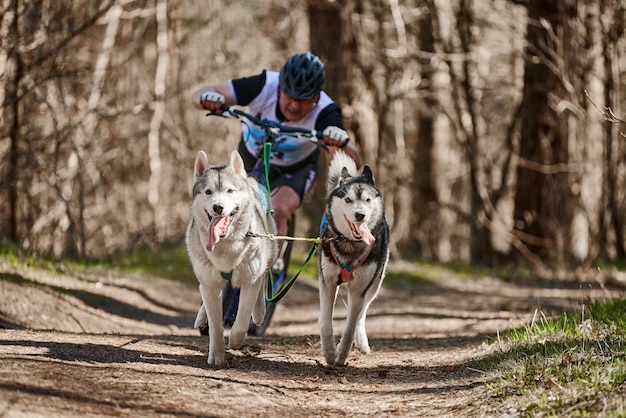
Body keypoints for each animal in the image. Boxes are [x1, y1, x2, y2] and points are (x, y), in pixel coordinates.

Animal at [184, 150, 274, 366]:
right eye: (208, 192)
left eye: (230, 191)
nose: (218, 207)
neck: (225, 248)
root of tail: (251, 180)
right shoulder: (209, 283)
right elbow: (216, 324)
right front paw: (217, 355)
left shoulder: (249, 280)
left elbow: (242, 318)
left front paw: (235, 341)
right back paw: (201, 318)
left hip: (270, 251)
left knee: (263, 278)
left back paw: (259, 312)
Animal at [320, 151, 388, 366]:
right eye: (348, 200)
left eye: (367, 200)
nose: (360, 215)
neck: (350, 244)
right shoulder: (327, 282)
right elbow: (325, 323)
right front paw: (329, 352)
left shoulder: (359, 288)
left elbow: (350, 326)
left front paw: (341, 354)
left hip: (375, 284)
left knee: (361, 313)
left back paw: (362, 343)